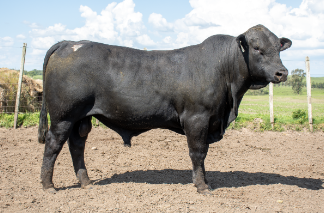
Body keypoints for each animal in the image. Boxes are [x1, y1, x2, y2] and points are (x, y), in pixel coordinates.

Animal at [37, 24, 292, 194]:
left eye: (279, 48)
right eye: (257, 48)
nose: (282, 72)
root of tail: (69, 43)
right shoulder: (197, 118)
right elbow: (198, 153)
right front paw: (202, 186)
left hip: (81, 118)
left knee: (76, 146)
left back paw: (86, 182)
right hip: (63, 116)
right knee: (53, 145)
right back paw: (48, 186)